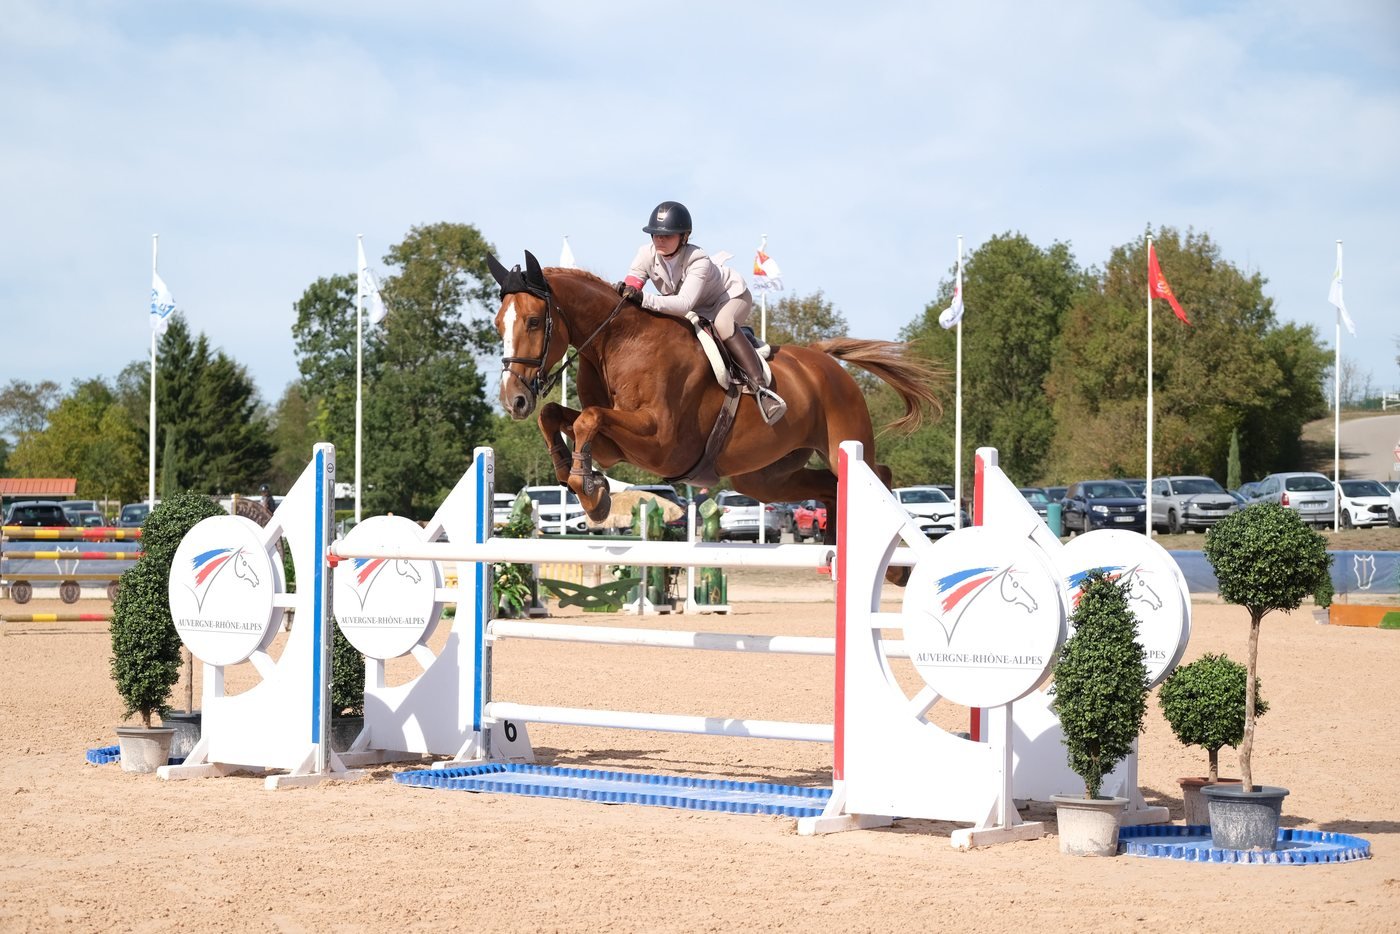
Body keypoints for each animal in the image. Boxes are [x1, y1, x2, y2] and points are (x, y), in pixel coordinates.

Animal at [488, 250, 942, 546]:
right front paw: (579, 481)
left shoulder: (661, 443)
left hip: (842, 442)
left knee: (879, 474)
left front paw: (590, 489)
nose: (513, 400)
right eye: (497, 323)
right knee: (828, 487)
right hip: (765, 477)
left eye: (533, 321)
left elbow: (587, 418)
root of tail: (826, 362)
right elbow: (557, 415)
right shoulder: (615, 447)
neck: (617, 343)